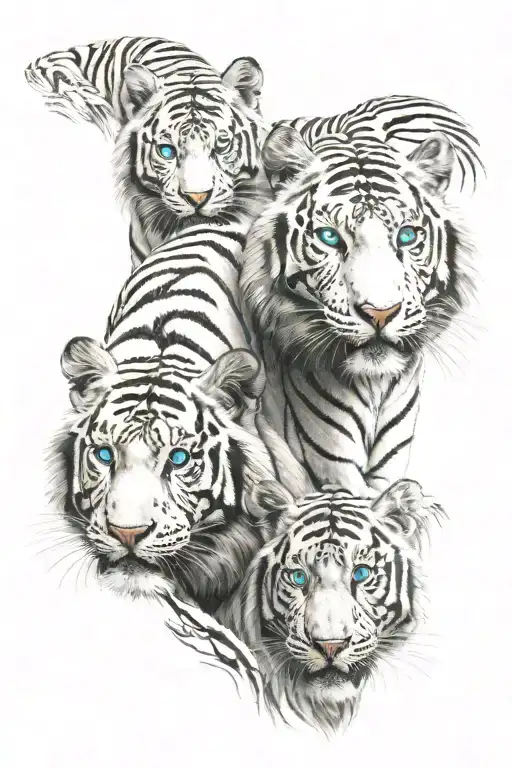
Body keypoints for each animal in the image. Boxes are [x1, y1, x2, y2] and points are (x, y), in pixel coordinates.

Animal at [241, 94, 483, 497]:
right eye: (329, 238)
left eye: (406, 236)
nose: (380, 313)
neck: (376, 387)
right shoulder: (333, 467)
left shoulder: (389, 467)